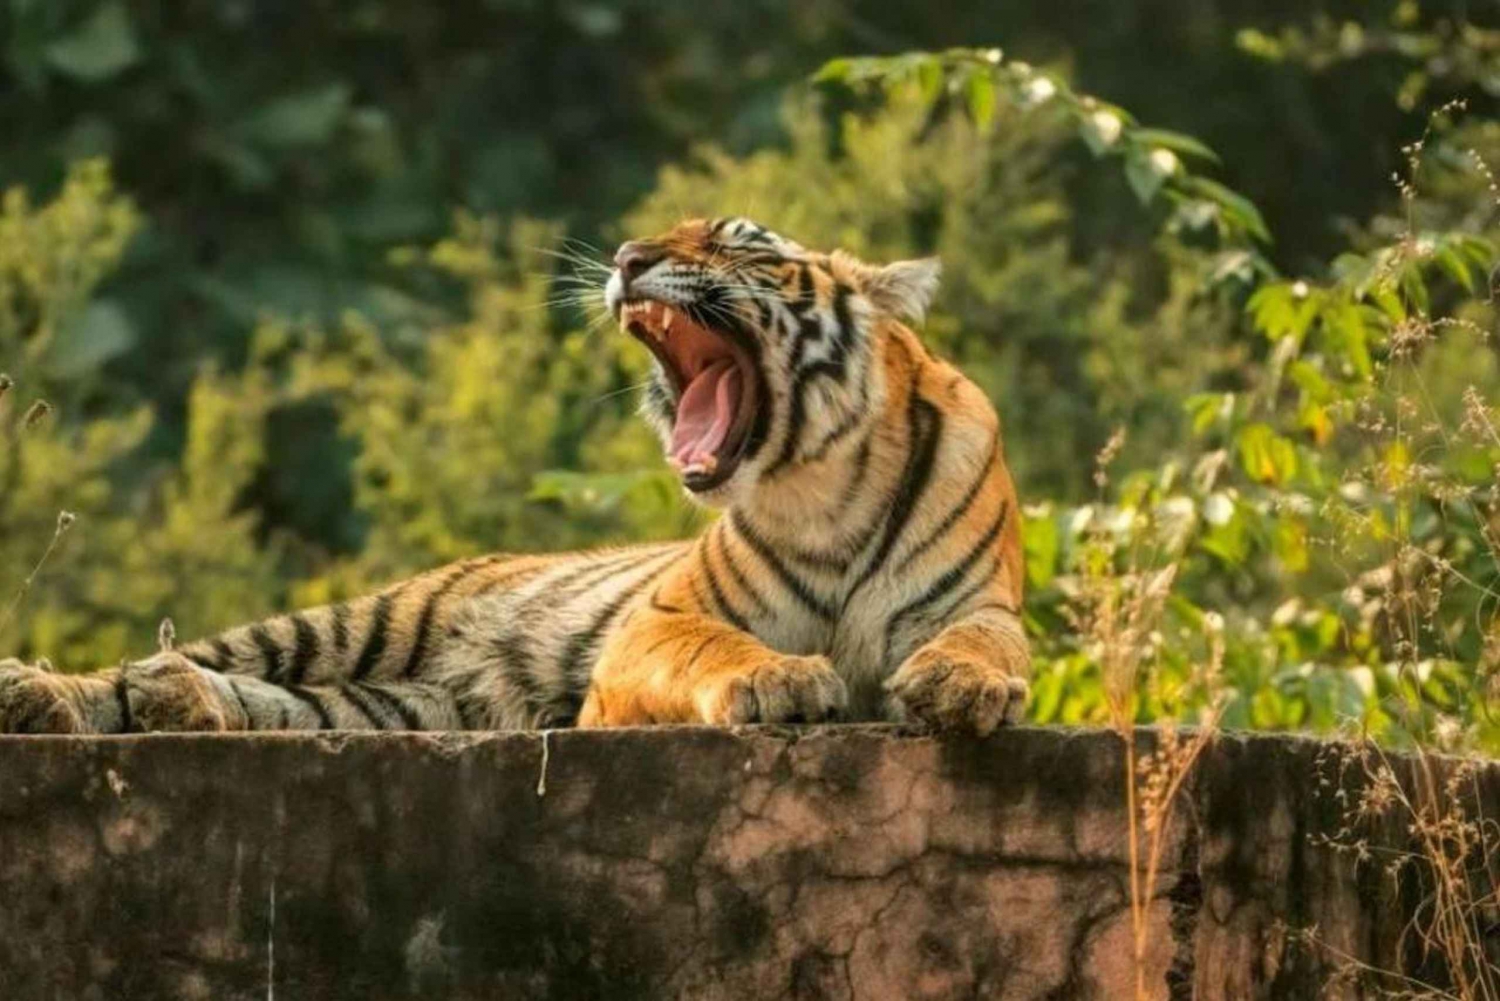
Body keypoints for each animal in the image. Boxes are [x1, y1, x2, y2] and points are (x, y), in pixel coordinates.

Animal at [0, 217, 1032, 735]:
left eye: (739, 243)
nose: (627, 258)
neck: (824, 489)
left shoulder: (975, 603)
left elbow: (987, 645)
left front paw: (959, 689)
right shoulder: (658, 623)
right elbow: (715, 647)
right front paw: (781, 680)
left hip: (398, 704)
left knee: (269, 702)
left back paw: (180, 700)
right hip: (356, 622)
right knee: (164, 665)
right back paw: (44, 693)